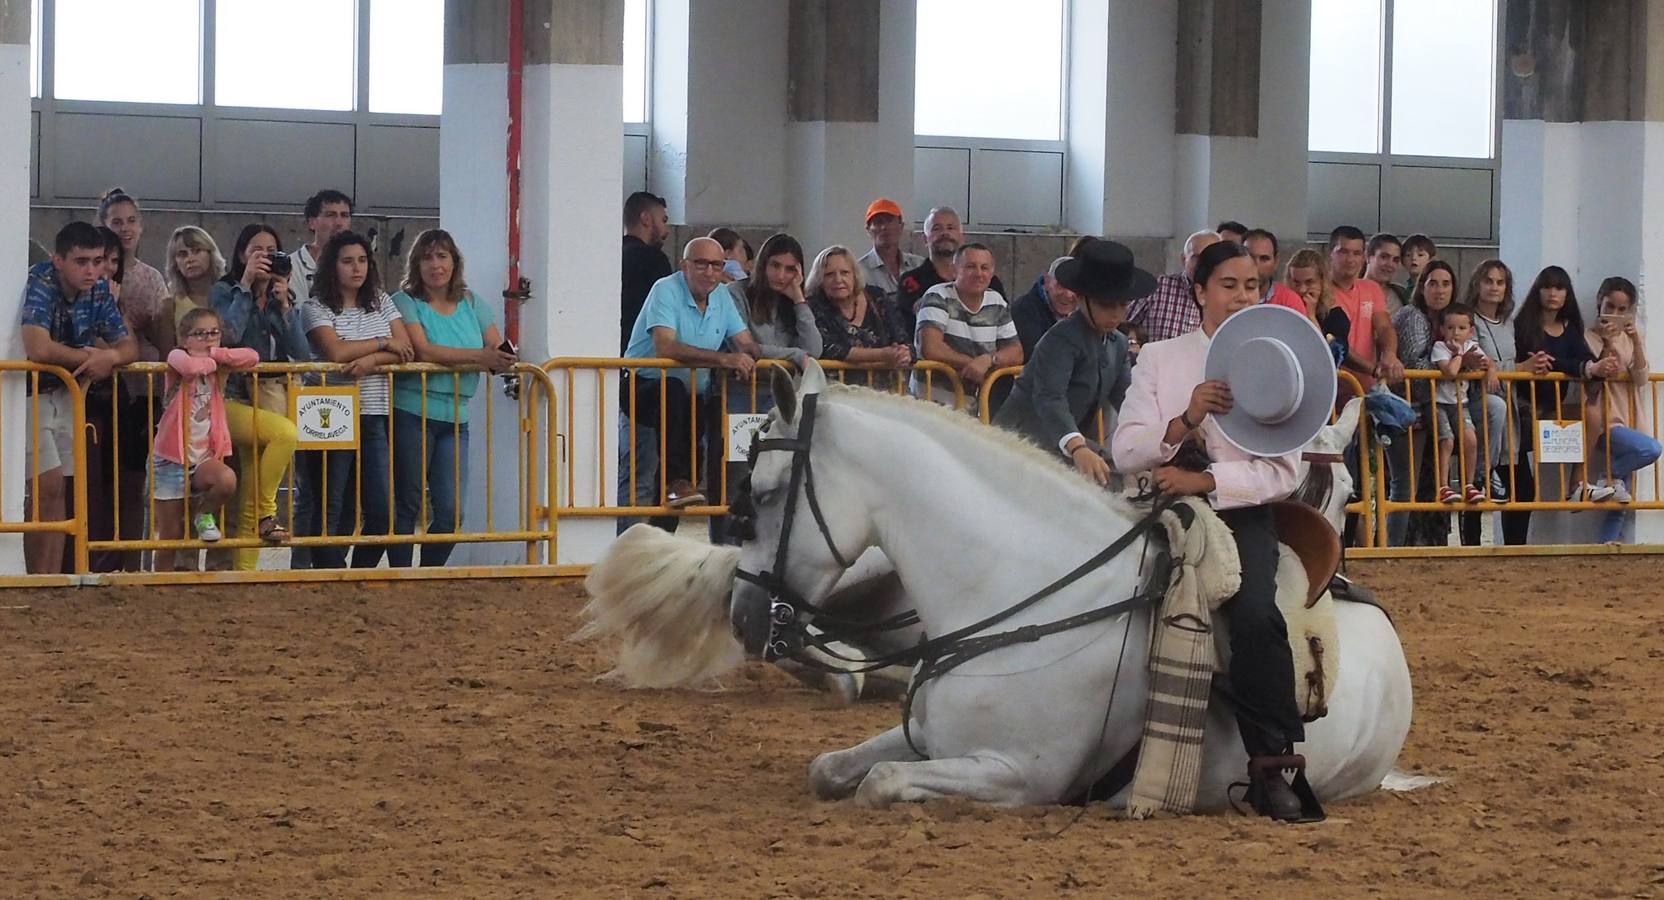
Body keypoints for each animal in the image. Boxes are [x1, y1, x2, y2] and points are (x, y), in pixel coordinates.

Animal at [722, 360, 1411, 811]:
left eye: (763, 494)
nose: (743, 616)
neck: (1021, 599)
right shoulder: (929, 737)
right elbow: (828, 768)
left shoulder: (1019, 775)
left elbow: (879, 783)